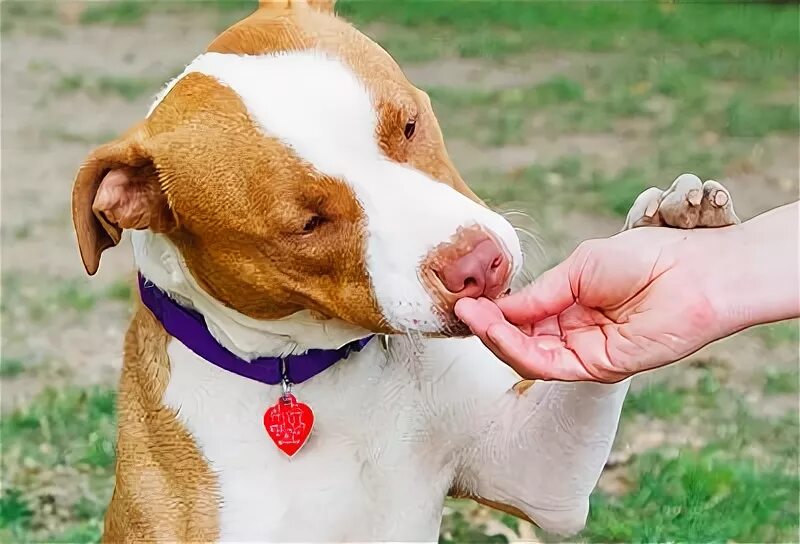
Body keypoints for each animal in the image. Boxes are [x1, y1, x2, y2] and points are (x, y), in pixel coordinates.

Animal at [72, 2, 740, 540]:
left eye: (409, 124)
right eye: (308, 223)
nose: (478, 266)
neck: (310, 377)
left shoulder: (537, 474)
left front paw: (666, 228)